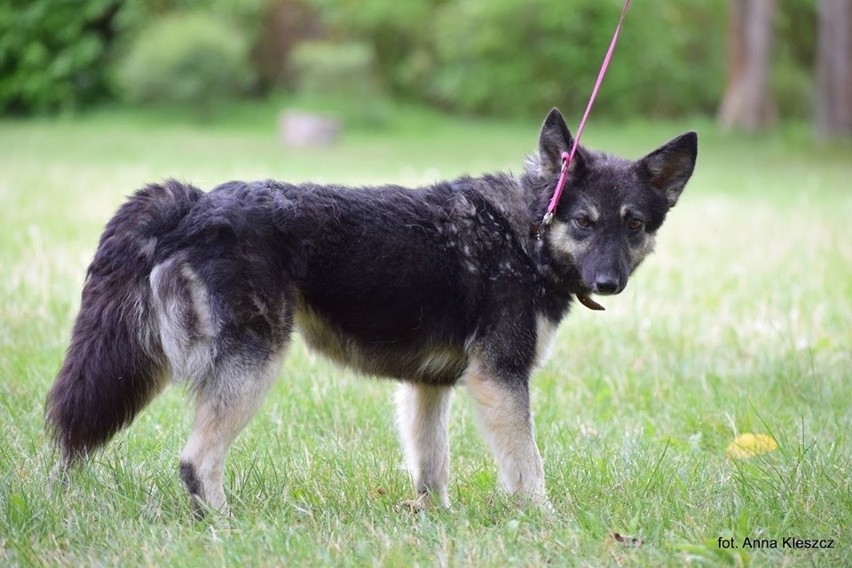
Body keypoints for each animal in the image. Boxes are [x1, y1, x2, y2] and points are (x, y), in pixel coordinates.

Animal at [46, 107, 696, 516]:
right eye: (584, 222)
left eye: (633, 225)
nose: (609, 283)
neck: (528, 231)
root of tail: (194, 203)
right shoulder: (501, 381)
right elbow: (528, 468)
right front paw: (544, 522)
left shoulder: (429, 388)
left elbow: (432, 468)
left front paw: (432, 520)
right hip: (253, 366)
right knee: (194, 462)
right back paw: (228, 527)